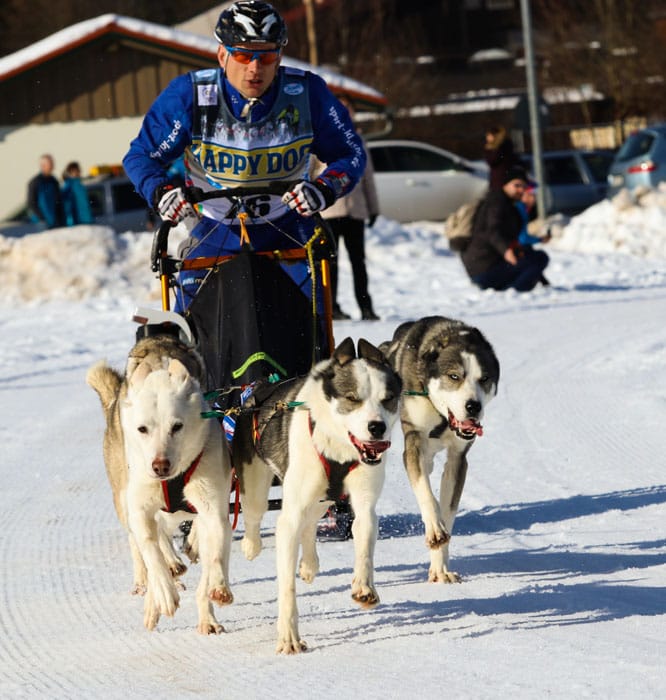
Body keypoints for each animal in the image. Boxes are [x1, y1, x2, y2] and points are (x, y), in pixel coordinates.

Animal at [85, 334, 232, 636]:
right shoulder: (140, 509)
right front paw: (164, 593)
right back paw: (155, 583)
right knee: (144, 546)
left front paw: (215, 596)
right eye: (143, 429)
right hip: (124, 500)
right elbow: (151, 551)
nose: (159, 466)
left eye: (177, 426)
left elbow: (214, 557)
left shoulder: (214, 508)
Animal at [231, 336, 402, 652]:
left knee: (311, 523)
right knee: (254, 515)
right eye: (352, 398)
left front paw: (364, 586)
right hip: (257, 488)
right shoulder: (289, 517)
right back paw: (250, 545)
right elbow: (287, 585)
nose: (377, 427)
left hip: (324, 499)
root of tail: (256, 392)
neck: (338, 448)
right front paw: (289, 636)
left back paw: (309, 563)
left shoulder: (364, 502)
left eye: (388, 398)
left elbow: (364, 537)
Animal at [378, 320, 498, 584]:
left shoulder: (458, 459)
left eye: (484, 378)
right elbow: (426, 494)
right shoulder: (413, 445)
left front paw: (440, 568)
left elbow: (448, 511)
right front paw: (434, 527)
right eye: (454, 376)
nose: (473, 406)